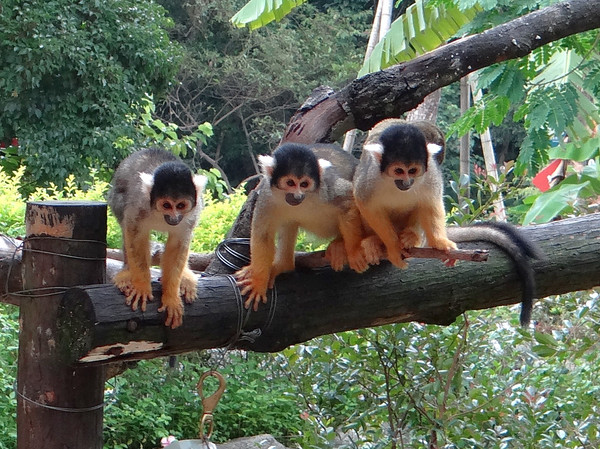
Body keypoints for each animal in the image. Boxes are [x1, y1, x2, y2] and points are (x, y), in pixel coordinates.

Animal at [108, 149, 209, 328]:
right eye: (166, 205)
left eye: (181, 205)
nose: (174, 218)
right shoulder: (139, 203)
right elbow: (134, 232)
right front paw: (141, 285)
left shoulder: (194, 210)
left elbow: (179, 242)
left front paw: (171, 297)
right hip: (115, 196)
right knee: (124, 216)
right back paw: (127, 271)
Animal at [237, 142, 368, 310]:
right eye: (290, 183)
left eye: (304, 184)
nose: (298, 195)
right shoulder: (266, 196)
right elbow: (263, 235)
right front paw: (259, 281)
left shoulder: (326, 187)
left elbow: (349, 198)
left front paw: (353, 252)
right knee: (289, 222)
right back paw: (284, 265)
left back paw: (341, 244)